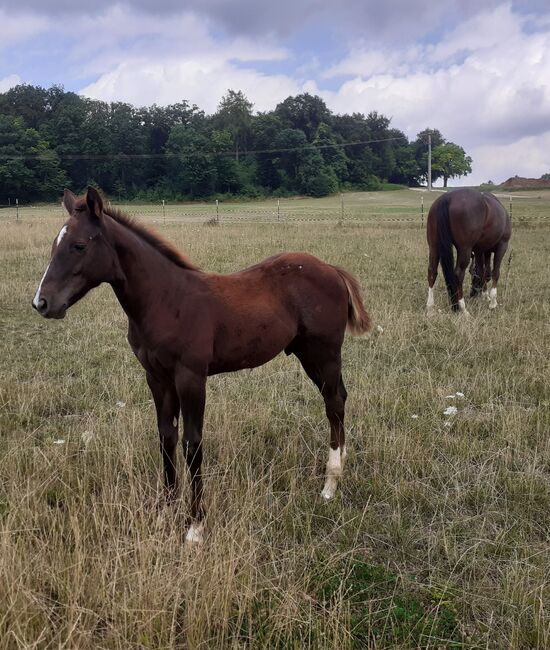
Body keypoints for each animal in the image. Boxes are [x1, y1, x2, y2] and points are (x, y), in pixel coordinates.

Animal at [33, 187, 370, 540]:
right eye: (55, 244)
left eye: (79, 245)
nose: (42, 302)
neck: (166, 300)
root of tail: (330, 268)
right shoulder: (157, 378)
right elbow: (166, 438)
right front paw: (165, 511)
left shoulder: (190, 376)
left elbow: (192, 444)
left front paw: (195, 525)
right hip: (308, 354)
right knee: (339, 398)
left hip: (324, 353)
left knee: (333, 402)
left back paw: (330, 484)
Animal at [426, 186, 512, 316]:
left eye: (472, 273)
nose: (472, 294)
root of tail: (448, 197)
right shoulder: (502, 246)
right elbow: (495, 272)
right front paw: (493, 302)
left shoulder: (481, 250)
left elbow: (484, 272)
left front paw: (485, 296)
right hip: (464, 249)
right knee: (458, 274)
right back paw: (463, 309)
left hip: (434, 246)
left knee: (432, 272)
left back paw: (430, 307)